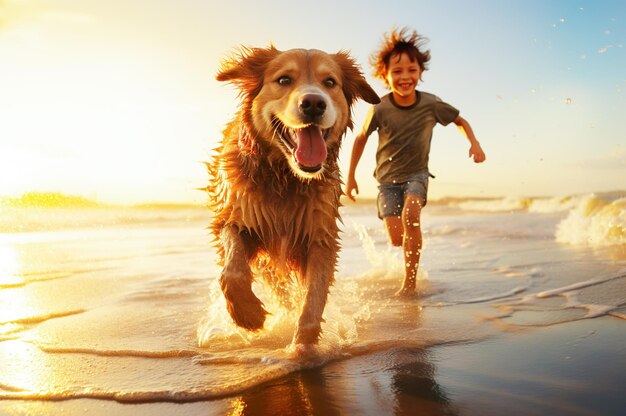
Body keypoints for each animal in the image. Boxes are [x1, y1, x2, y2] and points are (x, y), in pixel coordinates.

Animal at [205, 45, 378, 350]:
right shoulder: (235, 215)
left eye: (330, 82)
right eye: (284, 80)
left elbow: (312, 301)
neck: (284, 178)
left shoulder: (320, 236)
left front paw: (303, 347)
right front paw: (247, 314)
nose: (313, 103)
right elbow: (232, 269)